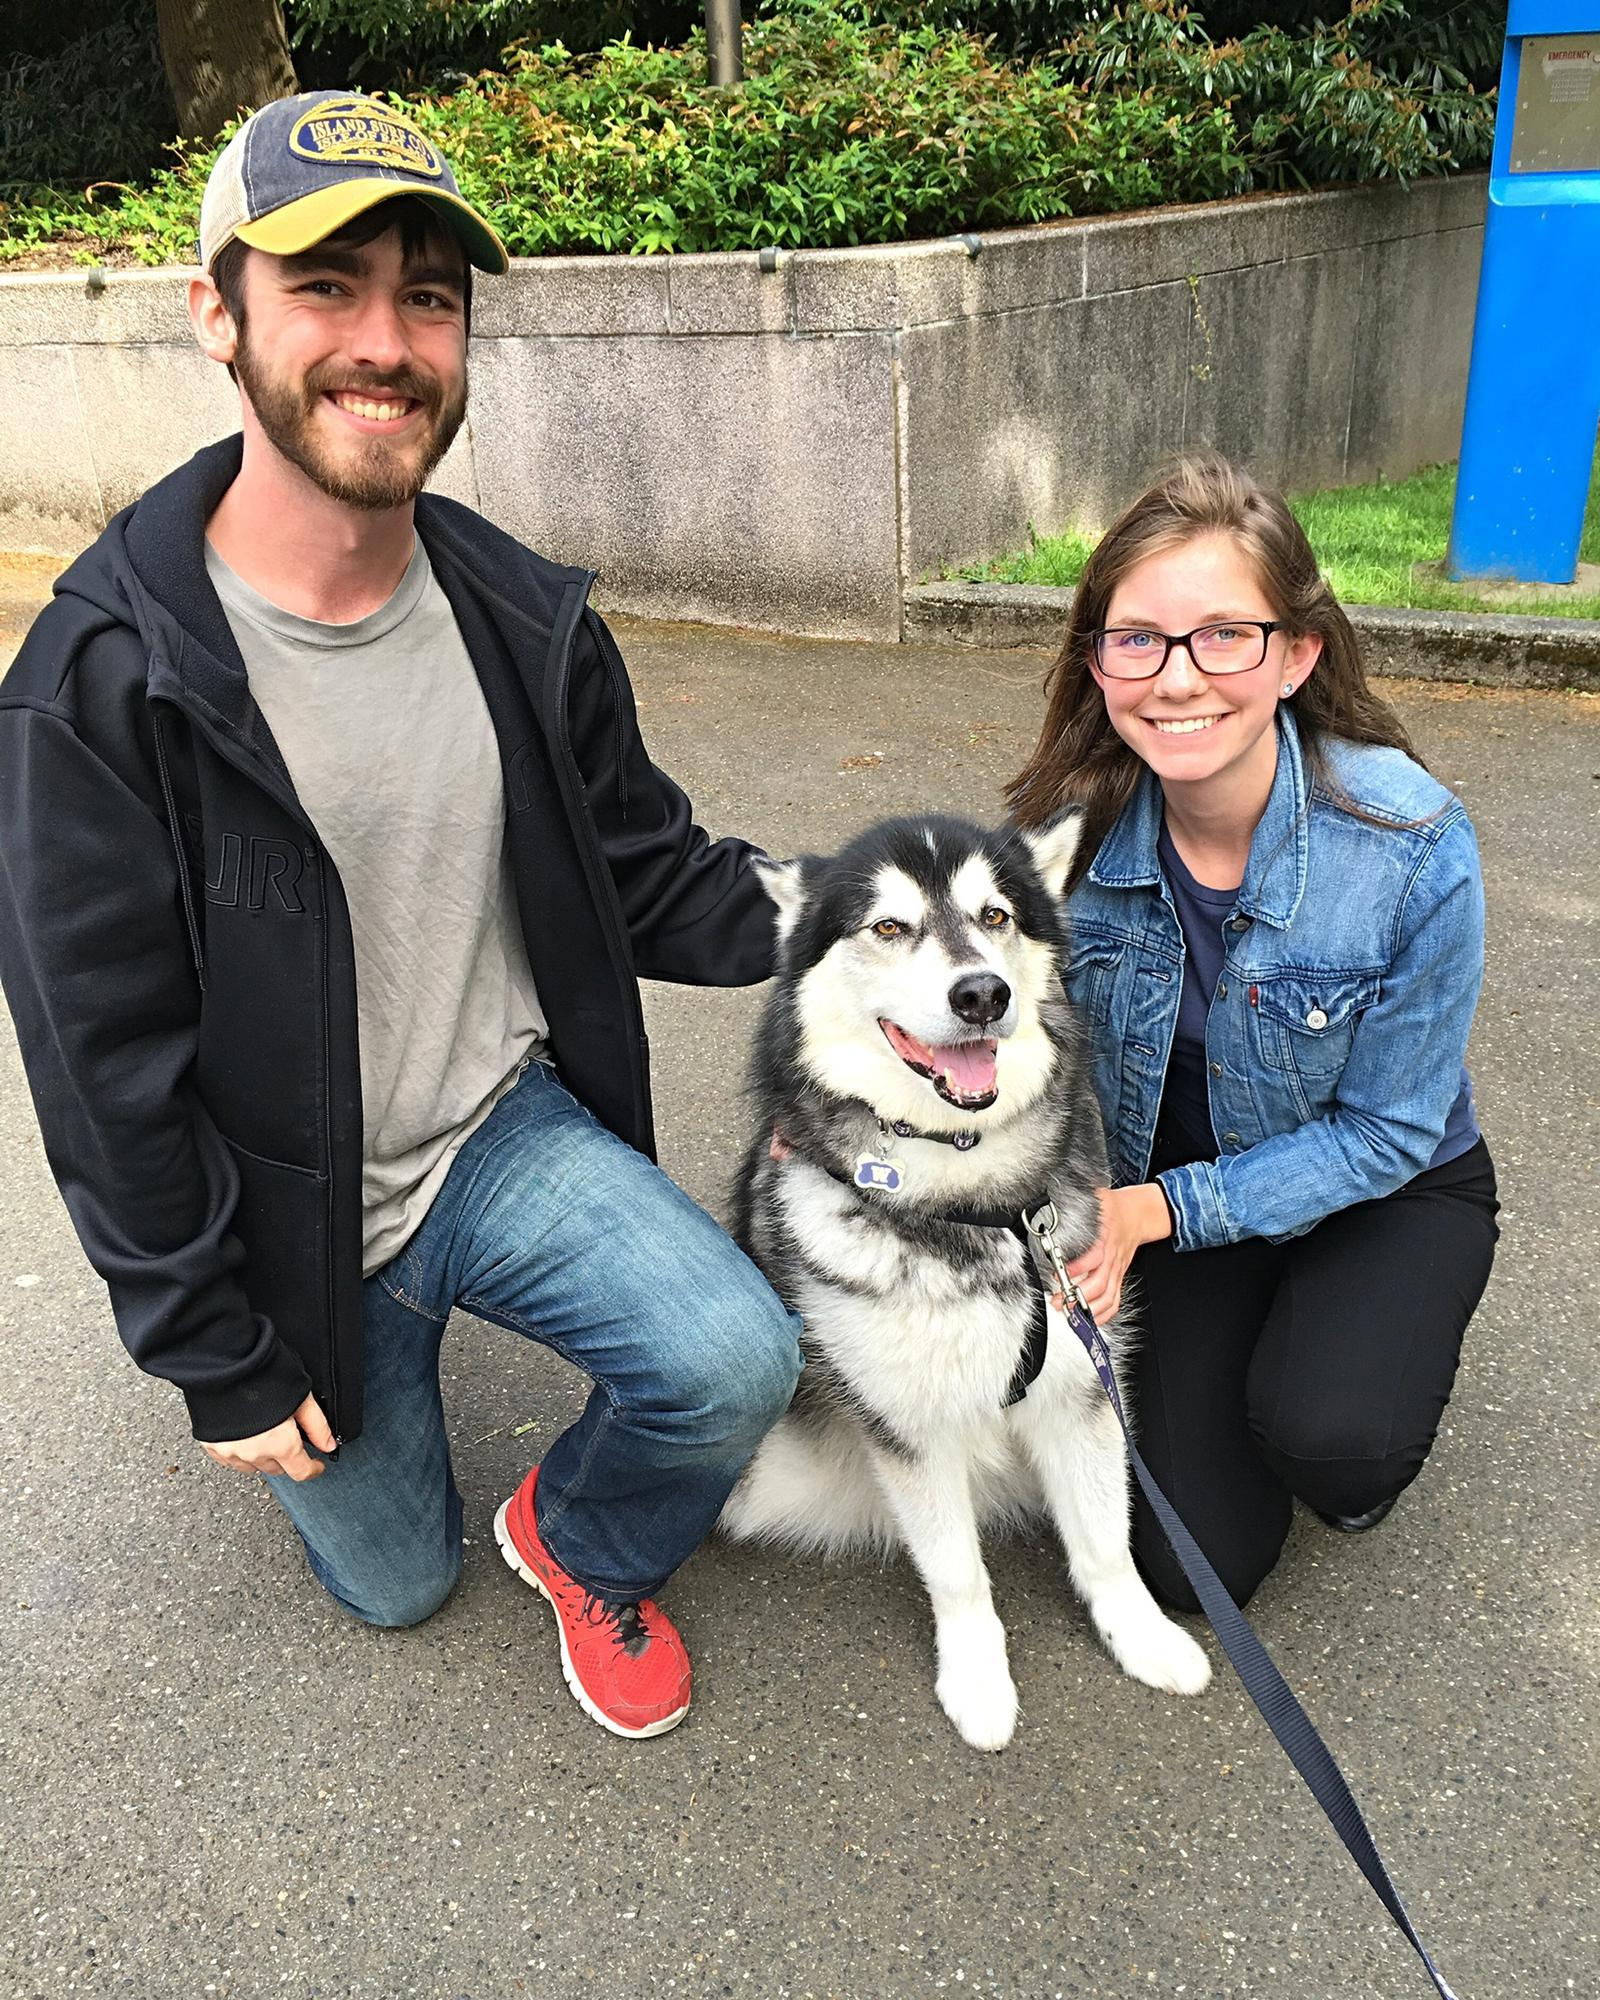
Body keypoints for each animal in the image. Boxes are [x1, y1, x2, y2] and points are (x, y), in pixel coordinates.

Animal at [720, 812, 1208, 1752]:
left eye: (995, 916)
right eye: (888, 926)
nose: (982, 993)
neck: (982, 1209)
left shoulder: (1080, 1383)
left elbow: (1106, 1538)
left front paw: (1144, 1637)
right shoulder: (909, 1424)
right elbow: (956, 1572)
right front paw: (979, 1682)